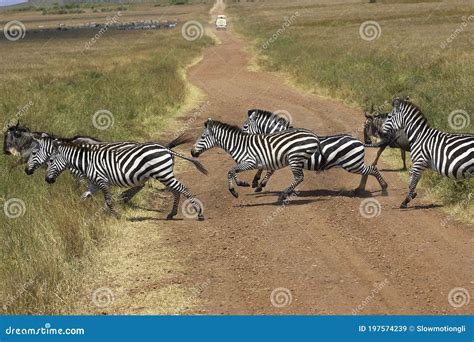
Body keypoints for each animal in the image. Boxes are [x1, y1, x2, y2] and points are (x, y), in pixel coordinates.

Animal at [45, 138, 206, 220]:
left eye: (51, 160)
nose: (47, 180)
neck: (86, 162)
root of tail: (165, 148)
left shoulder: (102, 181)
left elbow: (108, 201)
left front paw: (117, 216)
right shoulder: (94, 184)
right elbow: (84, 196)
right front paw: (77, 213)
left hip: (163, 174)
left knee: (183, 189)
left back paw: (199, 213)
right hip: (163, 174)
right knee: (176, 191)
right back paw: (171, 214)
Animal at [192, 117, 322, 203]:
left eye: (202, 137)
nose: (192, 152)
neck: (238, 144)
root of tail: (313, 135)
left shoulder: (250, 162)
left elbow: (230, 171)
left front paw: (234, 191)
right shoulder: (244, 162)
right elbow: (233, 171)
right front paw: (242, 183)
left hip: (294, 158)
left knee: (299, 177)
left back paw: (282, 195)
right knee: (298, 177)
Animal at [243, 109, 386, 195]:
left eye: (245, 126)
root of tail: (360, 142)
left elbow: (268, 170)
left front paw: (259, 184)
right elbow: (264, 167)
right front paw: (256, 182)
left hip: (352, 164)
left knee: (372, 169)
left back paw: (384, 188)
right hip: (354, 163)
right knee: (368, 170)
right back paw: (360, 189)